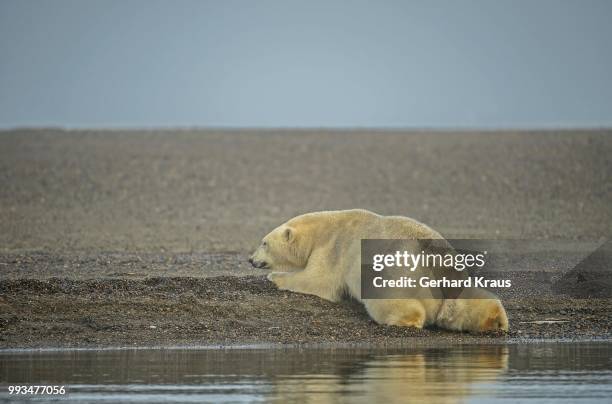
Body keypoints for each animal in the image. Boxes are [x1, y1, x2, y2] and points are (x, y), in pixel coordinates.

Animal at [247, 210, 506, 332]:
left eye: (264, 243)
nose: (250, 260)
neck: (322, 228)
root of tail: (436, 262)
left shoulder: (334, 248)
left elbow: (317, 280)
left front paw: (275, 277)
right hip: (457, 281)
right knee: (473, 300)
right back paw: (496, 321)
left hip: (395, 274)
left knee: (391, 301)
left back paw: (405, 320)